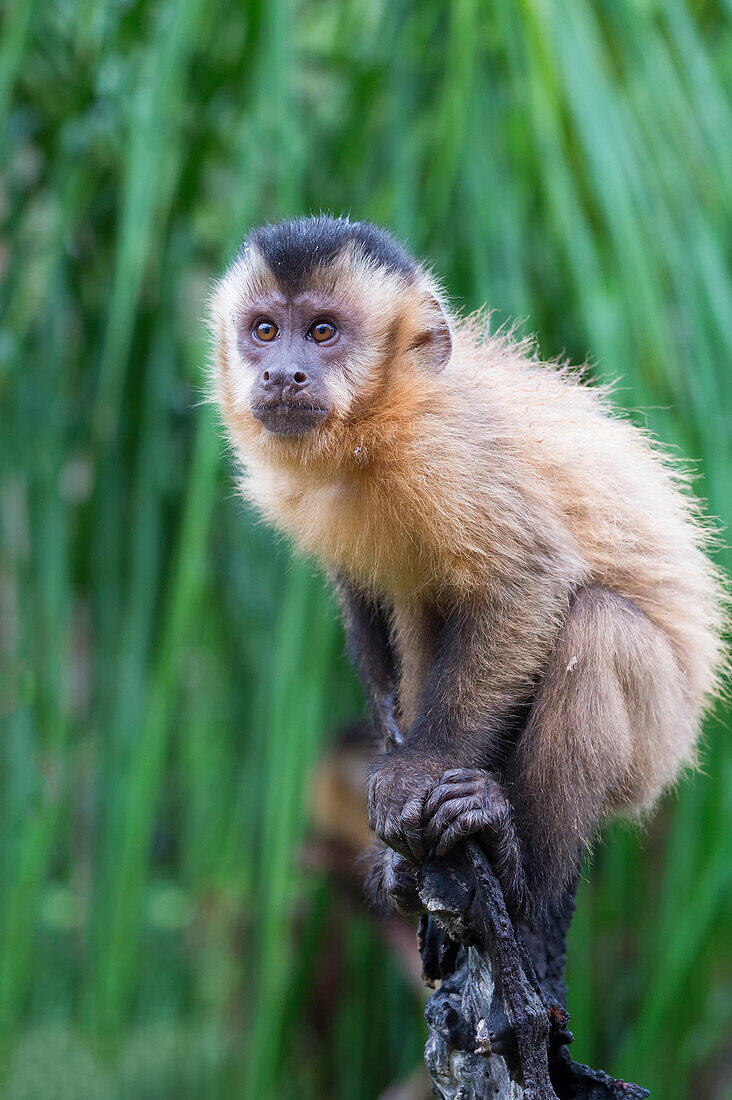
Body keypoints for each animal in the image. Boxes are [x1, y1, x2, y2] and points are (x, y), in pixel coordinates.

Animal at [208, 214, 726, 919]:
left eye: (322, 332)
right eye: (264, 330)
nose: (283, 374)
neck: (377, 424)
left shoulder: (444, 447)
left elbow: (529, 579)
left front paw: (418, 769)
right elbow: (362, 585)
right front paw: (391, 731)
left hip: (659, 743)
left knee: (596, 625)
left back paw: (521, 858)